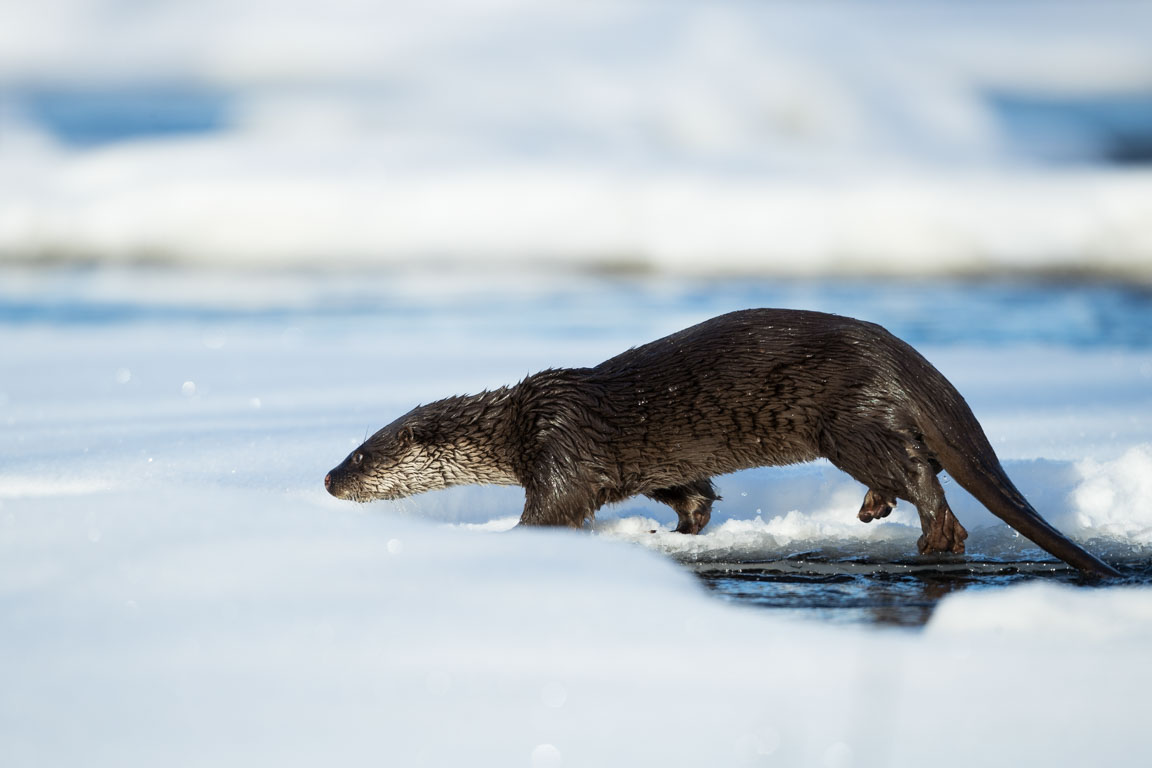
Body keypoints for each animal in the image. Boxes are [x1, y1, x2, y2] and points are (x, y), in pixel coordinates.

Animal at [324, 306, 1115, 575]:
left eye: (362, 455)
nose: (328, 479)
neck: (516, 423)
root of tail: (899, 356)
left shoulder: (560, 448)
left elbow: (553, 509)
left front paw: (502, 537)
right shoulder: (653, 466)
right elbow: (694, 495)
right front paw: (679, 533)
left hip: (846, 419)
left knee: (923, 471)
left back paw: (933, 537)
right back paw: (873, 510)